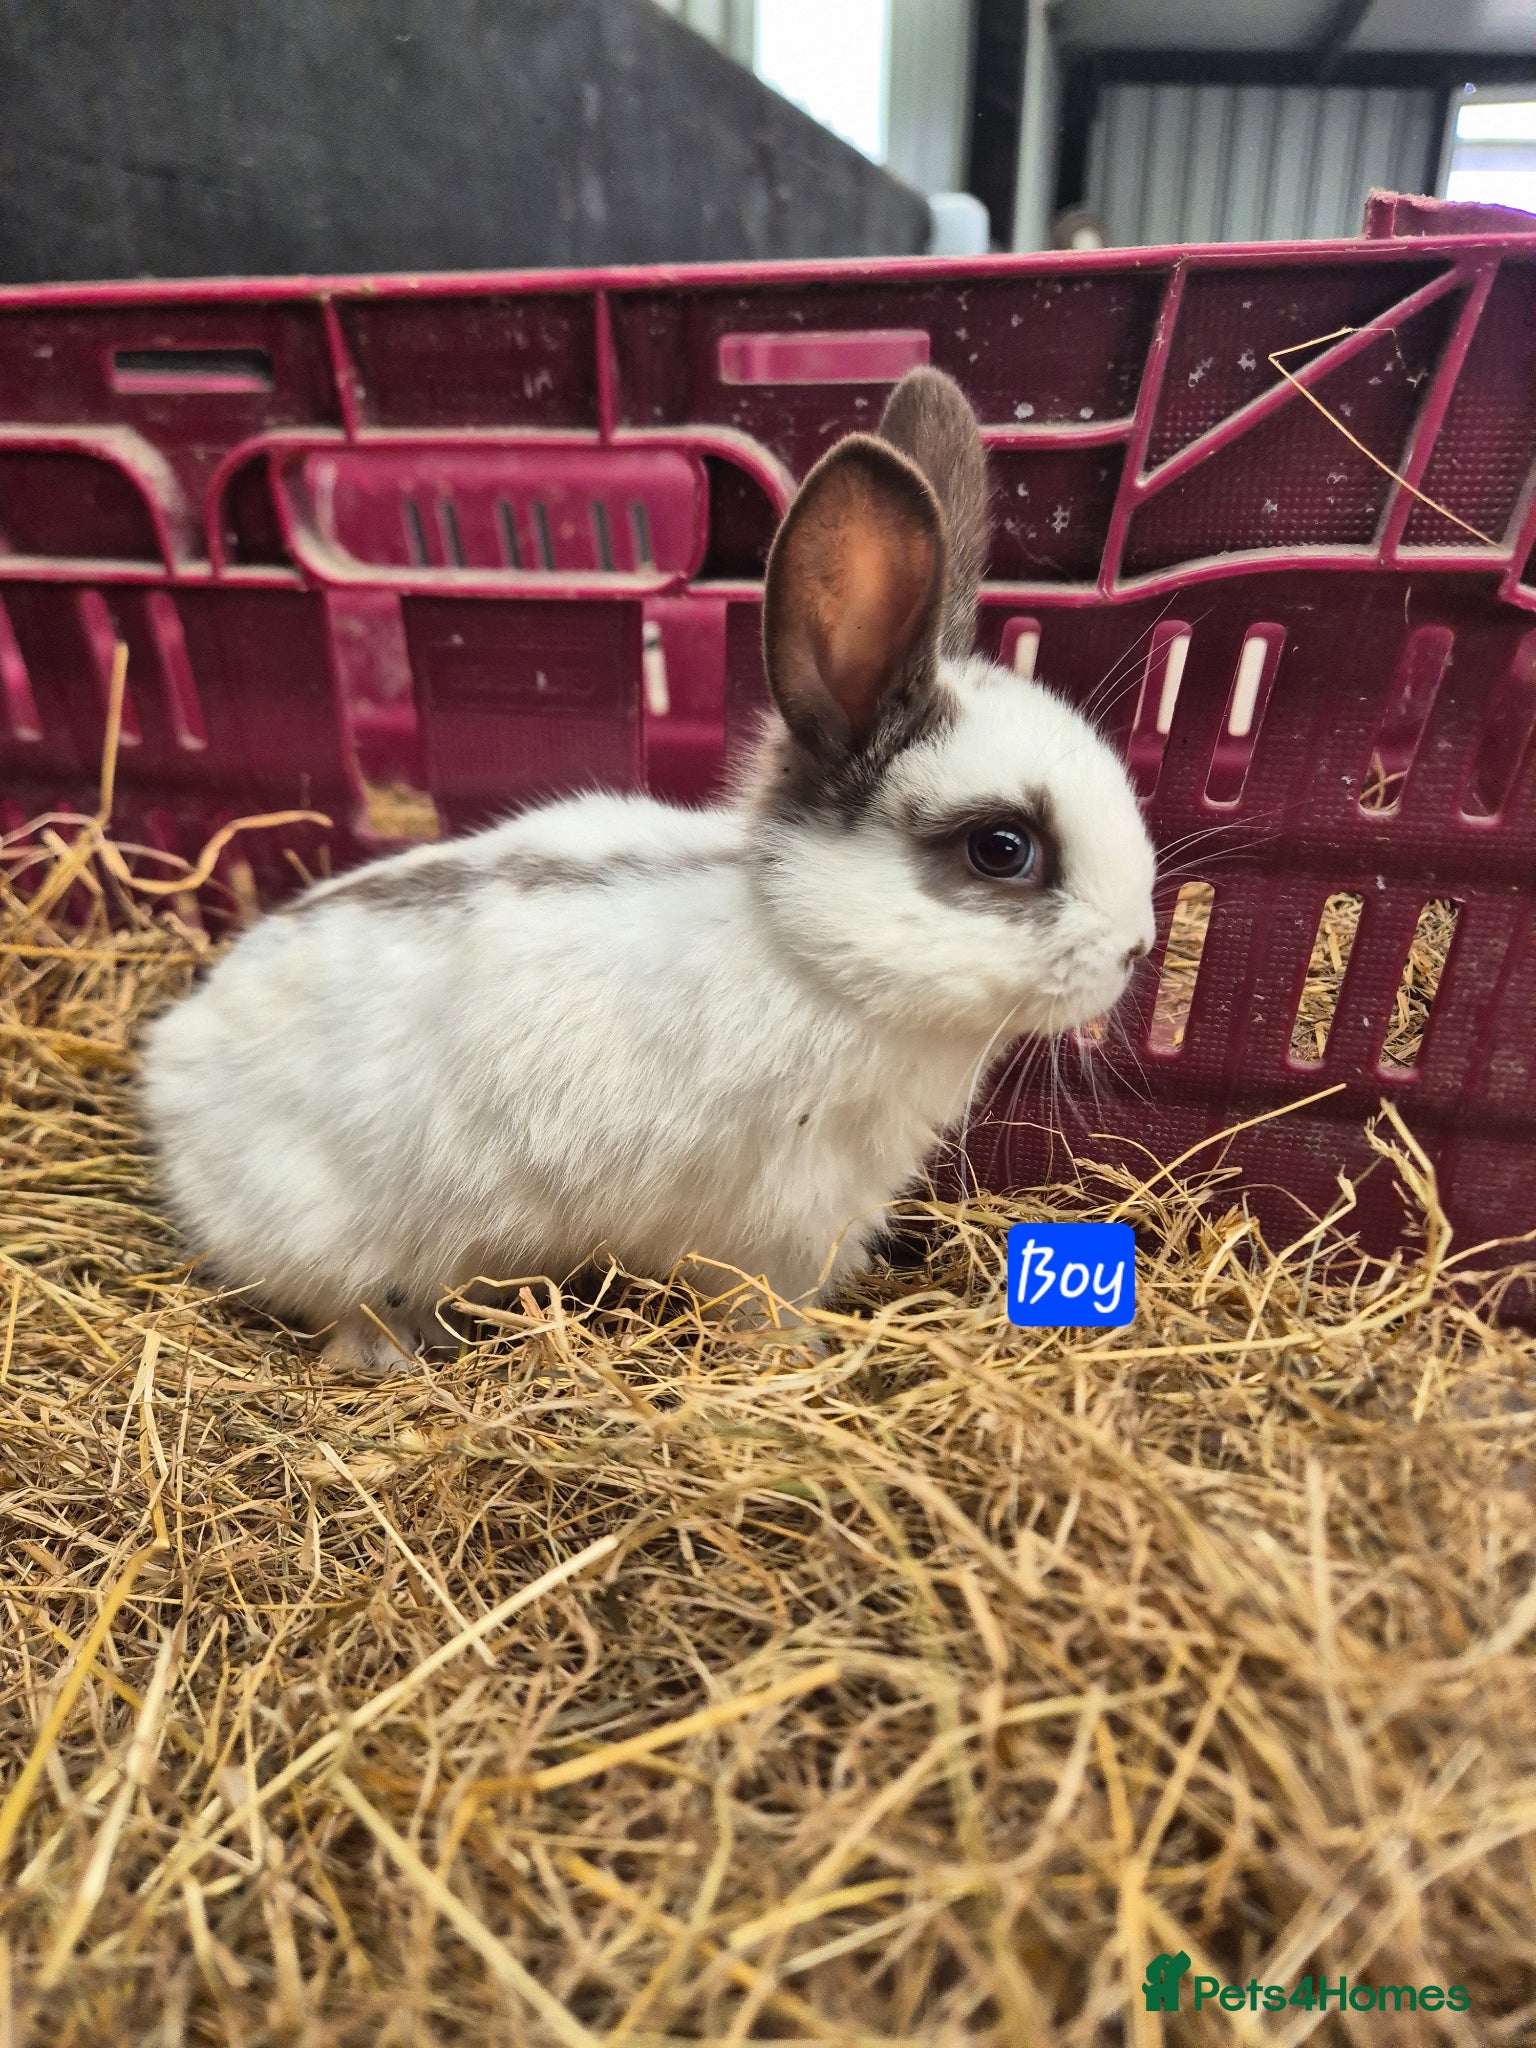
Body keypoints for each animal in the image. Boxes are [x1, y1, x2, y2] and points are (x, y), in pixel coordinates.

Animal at [140, 368, 1157, 1374]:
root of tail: (171, 1063)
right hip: (343, 1246)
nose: (1139, 949)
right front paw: (799, 1359)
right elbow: (765, 1311)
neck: (811, 955)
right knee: (348, 1321)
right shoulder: (770, 1233)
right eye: (1001, 848)